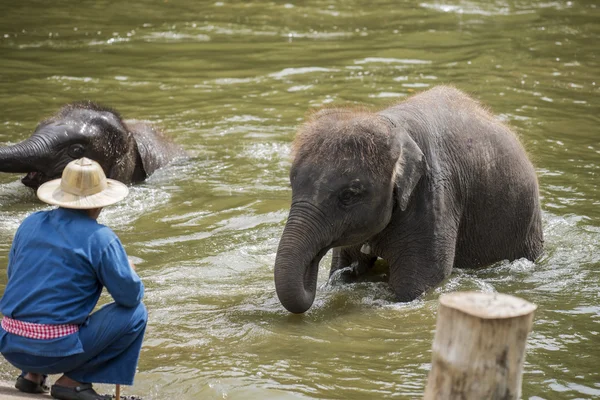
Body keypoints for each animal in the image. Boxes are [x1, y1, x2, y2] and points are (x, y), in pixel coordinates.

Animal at [274, 86, 548, 314]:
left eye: (348, 195)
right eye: (292, 183)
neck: (390, 126)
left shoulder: (434, 199)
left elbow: (414, 286)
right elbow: (347, 266)